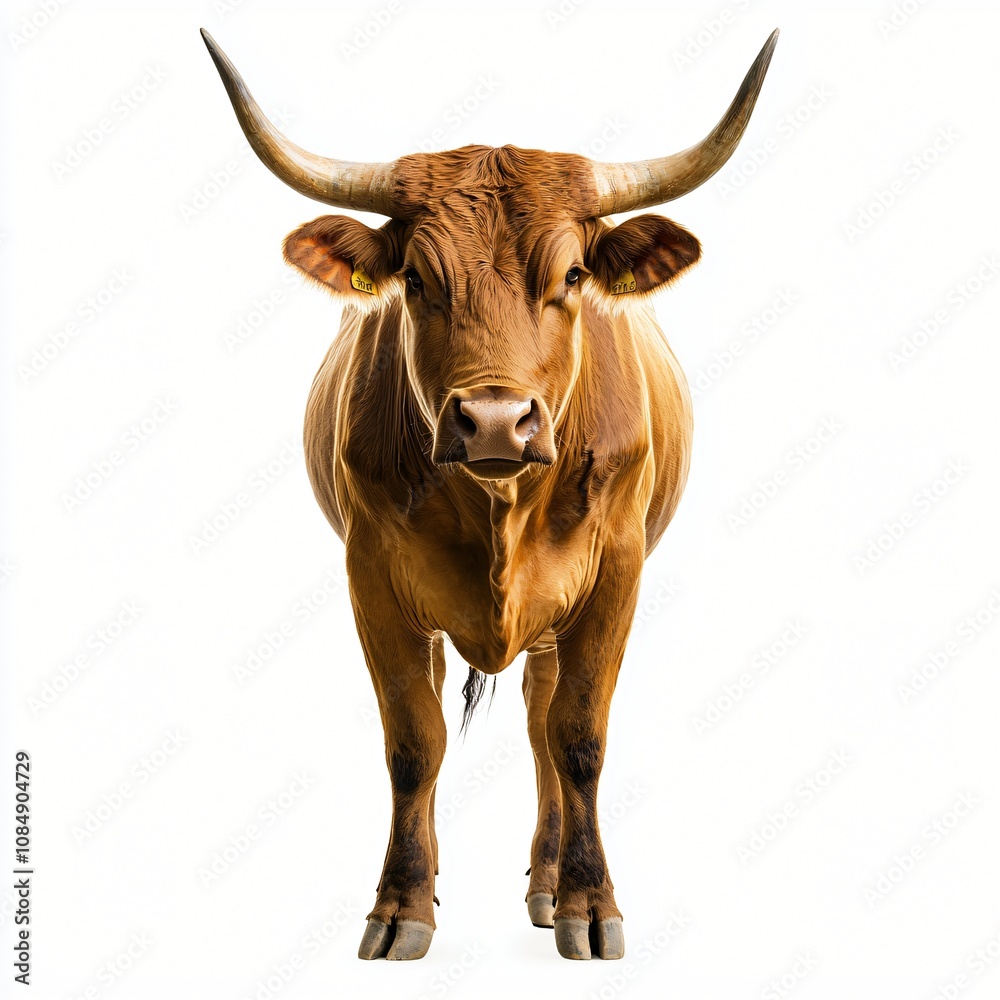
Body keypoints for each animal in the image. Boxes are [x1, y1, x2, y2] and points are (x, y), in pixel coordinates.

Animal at [202, 28, 777, 961]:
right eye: (416, 280)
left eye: (573, 276)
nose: (497, 422)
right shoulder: (373, 577)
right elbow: (414, 739)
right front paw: (401, 907)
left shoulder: (616, 570)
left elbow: (578, 736)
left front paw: (590, 905)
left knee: (545, 720)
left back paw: (548, 884)